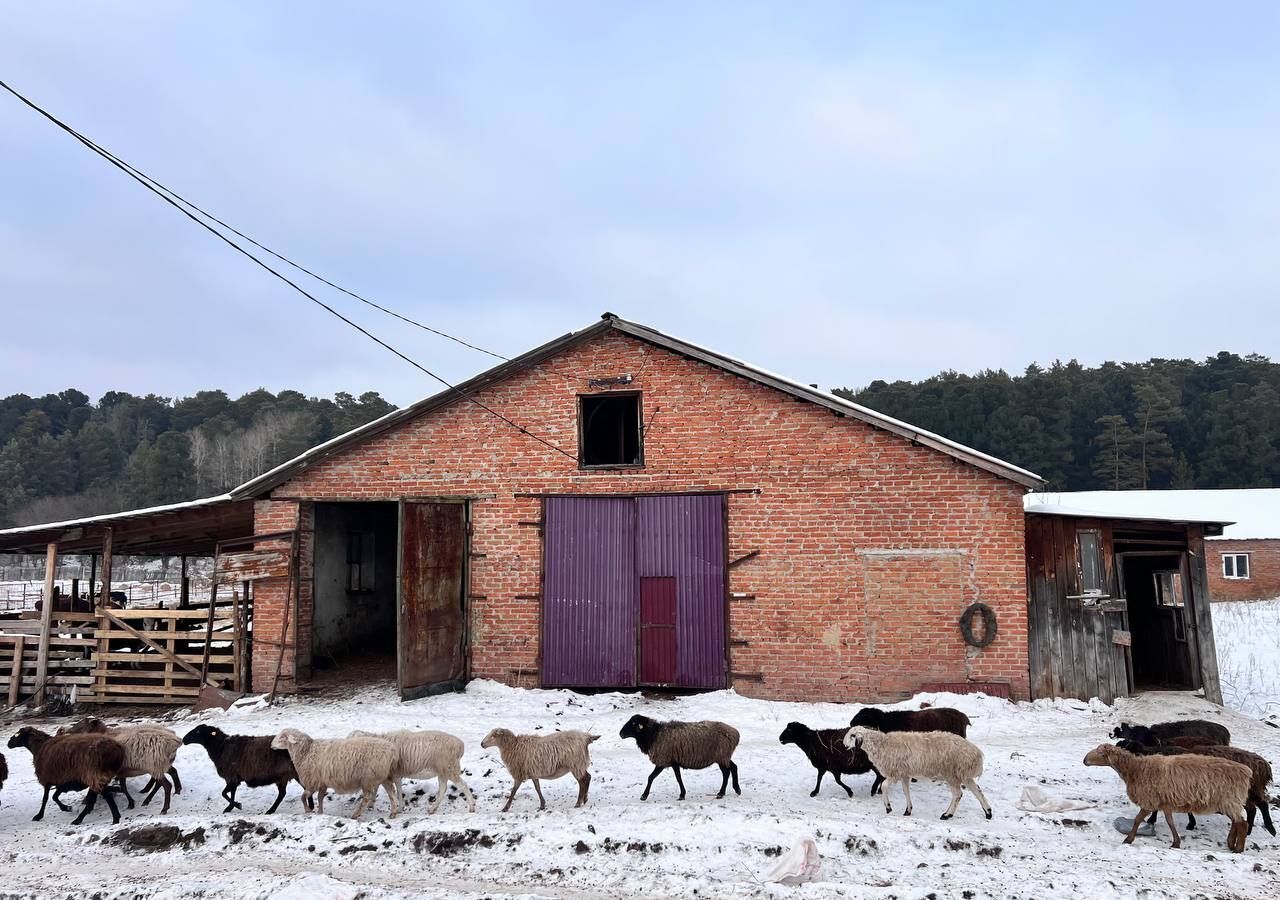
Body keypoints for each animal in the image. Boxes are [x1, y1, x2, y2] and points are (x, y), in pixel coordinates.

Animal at [844, 727, 993, 819]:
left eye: (852, 735)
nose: (844, 746)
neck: (881, 745)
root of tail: (976, 753)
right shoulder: (905, 773)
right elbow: (906, 791)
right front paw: (908, 810)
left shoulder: (895, 772)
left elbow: (884, 786)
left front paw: (888, 807)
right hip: (963, 774)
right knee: (977, 791)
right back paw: (988, 812)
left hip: (951, 774)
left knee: (958, 794)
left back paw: (947, 814)